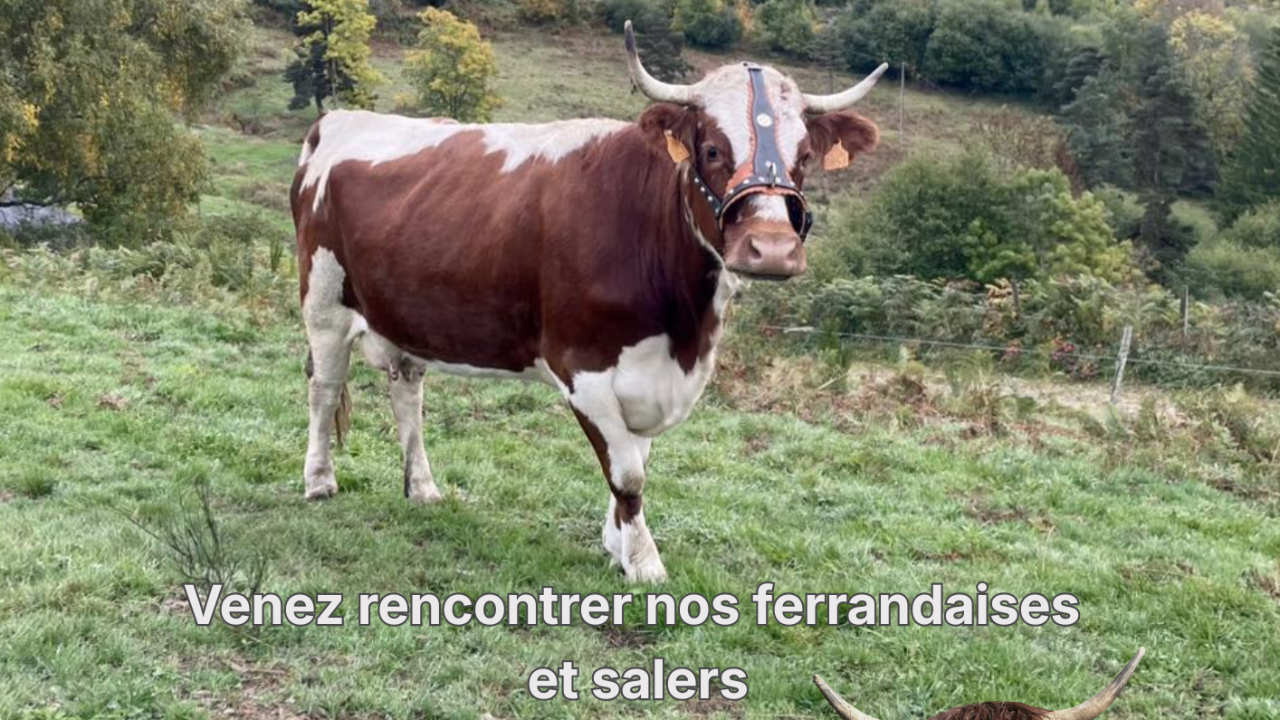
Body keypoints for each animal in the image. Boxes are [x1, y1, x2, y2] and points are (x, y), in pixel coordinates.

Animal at [289, 22, 887, 582]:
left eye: (804, 156)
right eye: (713, 149)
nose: (774, 249)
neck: (683, 330)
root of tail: (337, 120)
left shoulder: (647, 375)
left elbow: (637, 459)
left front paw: (616, 543)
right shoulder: (583, 369)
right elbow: (627, 473)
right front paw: (644, 561)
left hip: (407, 314)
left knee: (407, 393)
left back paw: (423, 487)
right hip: (323, 302)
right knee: (324, 387)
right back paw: (319, 480)